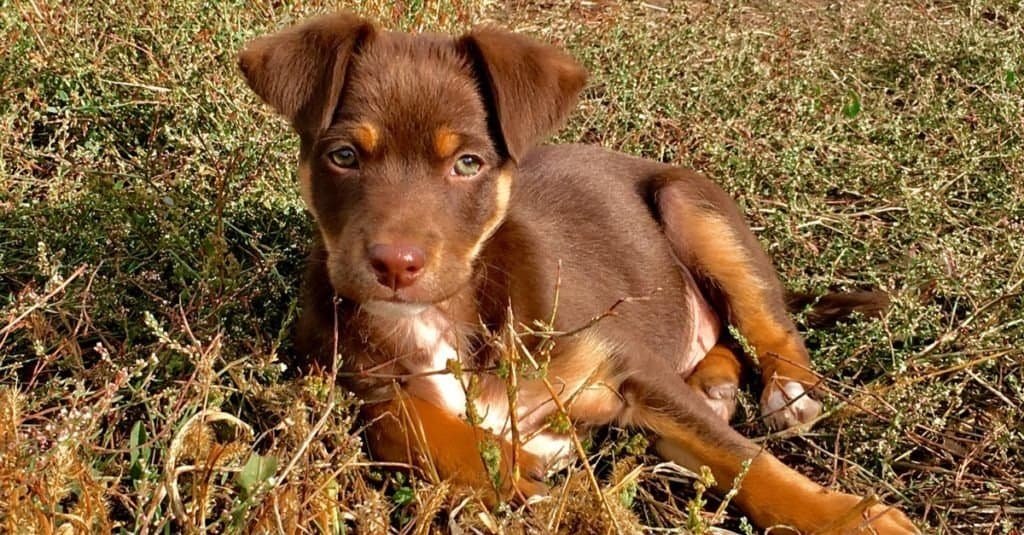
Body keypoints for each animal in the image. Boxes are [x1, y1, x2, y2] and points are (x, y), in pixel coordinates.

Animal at [239, 12, 921, 532]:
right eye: (343, 156)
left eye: (468, 164)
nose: (394, 264)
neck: (444, 315)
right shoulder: (347, 380)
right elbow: (402, 420)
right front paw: (507, 463)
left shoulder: (631, 369)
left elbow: (749, 461)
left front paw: (854, 519)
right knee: (722, 336)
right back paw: (716, 381)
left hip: (690, 206)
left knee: (766, 324)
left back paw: (789, 393)